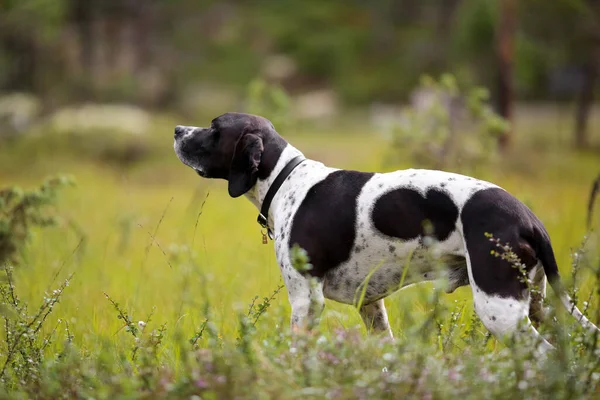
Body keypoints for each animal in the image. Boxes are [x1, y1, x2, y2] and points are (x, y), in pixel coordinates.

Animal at [175, 111, 600, 352]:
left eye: (213, 128)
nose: (178, 129)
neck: (286, 179)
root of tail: (529, 218)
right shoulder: (370, 305)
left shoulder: (306, 301)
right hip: (539, 304)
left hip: (501, 310)